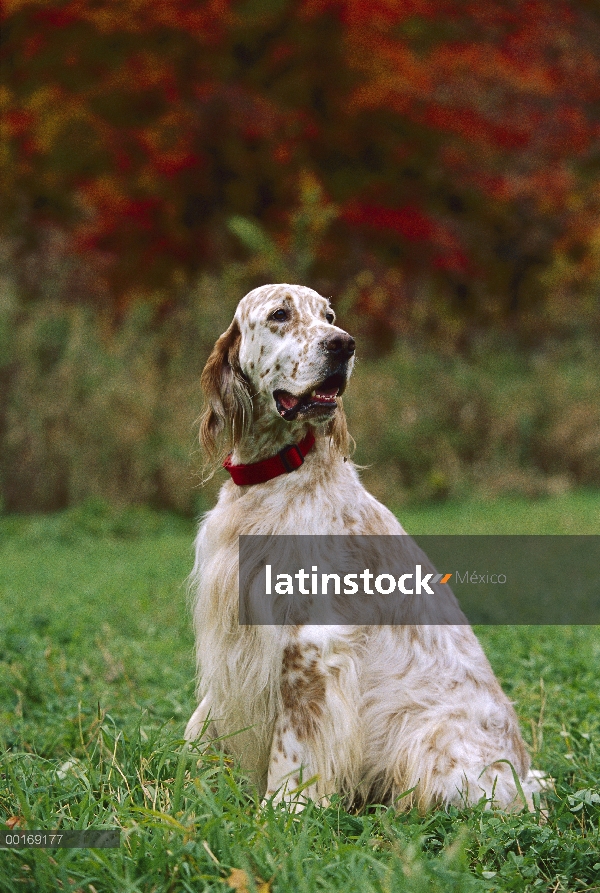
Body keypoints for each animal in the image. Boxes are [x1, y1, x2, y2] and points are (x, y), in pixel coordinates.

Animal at [184, 282, 544, 812]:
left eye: (330, 316)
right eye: (280, 314)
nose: (344, 344)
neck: (276, 475)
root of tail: (524, 775)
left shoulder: (311, 639)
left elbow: (292, 745)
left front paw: (283, 808)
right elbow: (201, 719)